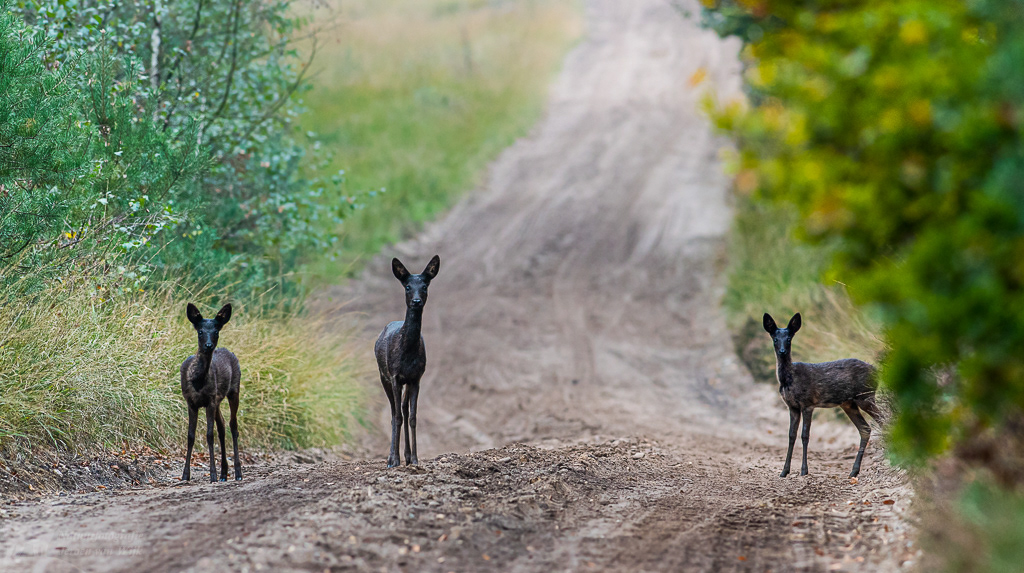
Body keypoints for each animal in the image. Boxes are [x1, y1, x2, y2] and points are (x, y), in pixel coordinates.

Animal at [181, 303, 242, 482]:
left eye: (216, 331)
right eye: (200, 331)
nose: (208, 346)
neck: (198, 381)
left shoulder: (210, 401)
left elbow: (209, 435)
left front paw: (212, 475)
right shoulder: (191, 402)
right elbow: (190, 435)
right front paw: (185, 474)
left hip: (234, 390)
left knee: (233, 426)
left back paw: (237, 473)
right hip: (218, 400)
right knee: (222, 426)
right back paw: (224, 474)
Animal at [375, 255, 440, 468]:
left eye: (425, 286)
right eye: (408, 287)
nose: (417, 301)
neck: (407, 354)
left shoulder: (416, 378)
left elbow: (412, 417)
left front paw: (415, 459)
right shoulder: (395, 375)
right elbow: (397, 417)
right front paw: (393, 460)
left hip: (406, 382)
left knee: (403, 408)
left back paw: (408, 455)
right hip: (383, 376)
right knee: (394, 411)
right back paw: (392, 457)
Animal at [763, 312, 882, 478]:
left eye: (789, 339)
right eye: (775, 339)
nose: (782, 351)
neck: (789, 380)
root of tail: (878, 372)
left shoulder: (808, 403)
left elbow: (805, 435)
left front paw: (804, 471)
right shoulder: (792, 406)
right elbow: (791, 435)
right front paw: (784, 471)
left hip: (865, 396)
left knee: (883, 420)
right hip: (849, 403)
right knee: (865, 428)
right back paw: (854, 471)